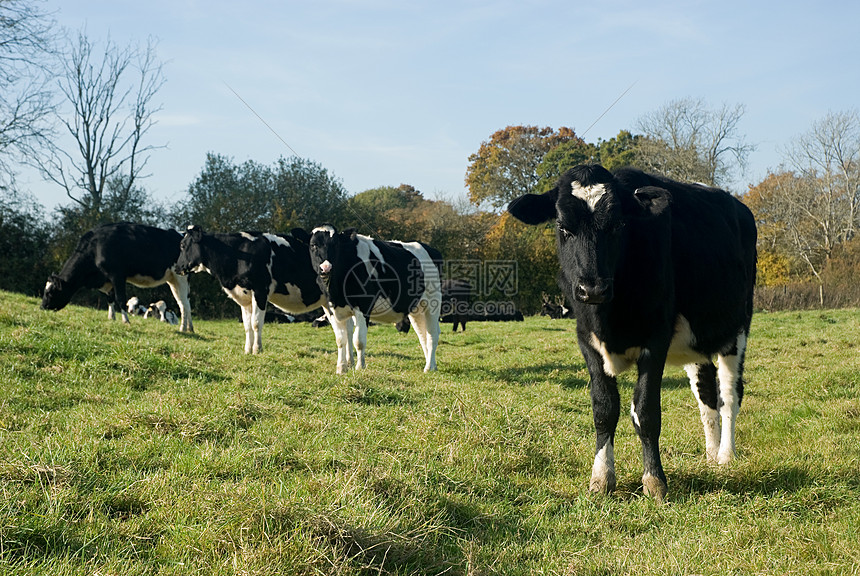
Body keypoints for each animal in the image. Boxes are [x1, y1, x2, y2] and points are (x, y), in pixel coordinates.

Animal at [41, 222, 193, 332]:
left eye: (50, 292)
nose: (42, 307)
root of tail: (182, 234)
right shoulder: (108, 280)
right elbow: (110, 298)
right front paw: (111, 317)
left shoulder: (117, 275)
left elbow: (120, 299)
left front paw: (126, 321)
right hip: (173, 280)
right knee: (186, 303)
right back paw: (190, 328)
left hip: (180, 277)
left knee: (183, 304)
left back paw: (183, 328)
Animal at [175, 226, 326, 354]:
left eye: (182, 245)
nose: (176, 268)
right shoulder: (244, 297)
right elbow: (247, 325)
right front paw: (247, 350)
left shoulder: (260, 291)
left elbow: (256, 323)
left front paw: (257, 349)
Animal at [310, 223, 444, 376]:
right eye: (313, 245)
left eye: (335, 244)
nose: (326, 268)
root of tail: (430, 249)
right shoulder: (330, 309)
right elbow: (340, 339)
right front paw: (341, 368)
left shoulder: (363, 306)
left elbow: (358, 340)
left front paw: (360, 367)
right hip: (417, 308)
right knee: (423, 335)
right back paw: (431, 365)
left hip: (433, 302)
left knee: (432, 334)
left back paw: (429, 367)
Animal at [508, 164, 756, 502]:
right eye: (563, 227)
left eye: (618, 225)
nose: (592, 289)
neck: (610, 318)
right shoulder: (587, 341)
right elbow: (604, 408)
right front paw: (601, 478)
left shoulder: (656, 340)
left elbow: (646, 411)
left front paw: (655, 481)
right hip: (697, 346)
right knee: (706, 398)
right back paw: (710, 454)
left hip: (737, 329)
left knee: (729, 396)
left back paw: (726, 455)